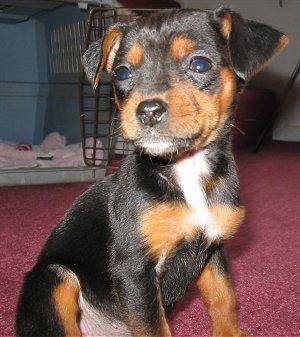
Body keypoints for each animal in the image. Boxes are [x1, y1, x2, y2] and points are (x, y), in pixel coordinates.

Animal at [15, 7, 288, 336]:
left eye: (200, 64)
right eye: (122, 73)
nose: (148, 111)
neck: (184, 170)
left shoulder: (214, 250)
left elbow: (224, 298)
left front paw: (231, 332)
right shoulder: (136, 269)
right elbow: (154, 327)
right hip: (55, 277)